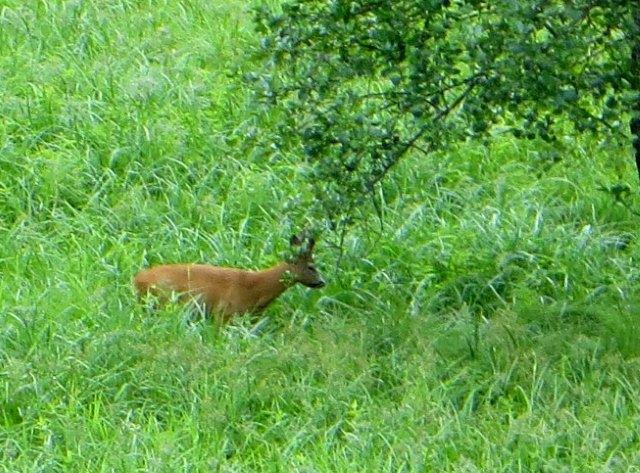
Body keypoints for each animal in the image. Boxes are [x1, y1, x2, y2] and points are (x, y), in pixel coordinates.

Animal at [134, 230, 324, 322]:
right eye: (311, 266)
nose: (322, 282)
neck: (257, 290)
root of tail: (136, 279)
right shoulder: (225, 313)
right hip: (162, 301)